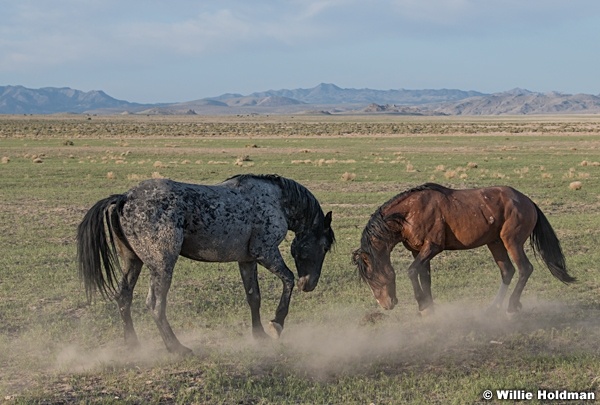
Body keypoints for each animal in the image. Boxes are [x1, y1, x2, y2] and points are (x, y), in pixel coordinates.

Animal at [76, 174, 332, 354]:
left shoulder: (247, 260)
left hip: (133, 262)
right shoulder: (265, 253)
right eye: (325, 247)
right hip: (162, 266)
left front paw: (259, 335)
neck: (276, 200)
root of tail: (124, 198)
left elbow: (253, 297)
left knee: (123, 298)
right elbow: (287, 279)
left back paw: (133, 344)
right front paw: (276, 324)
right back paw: (177, 348)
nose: (309, 284)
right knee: (155, 304)